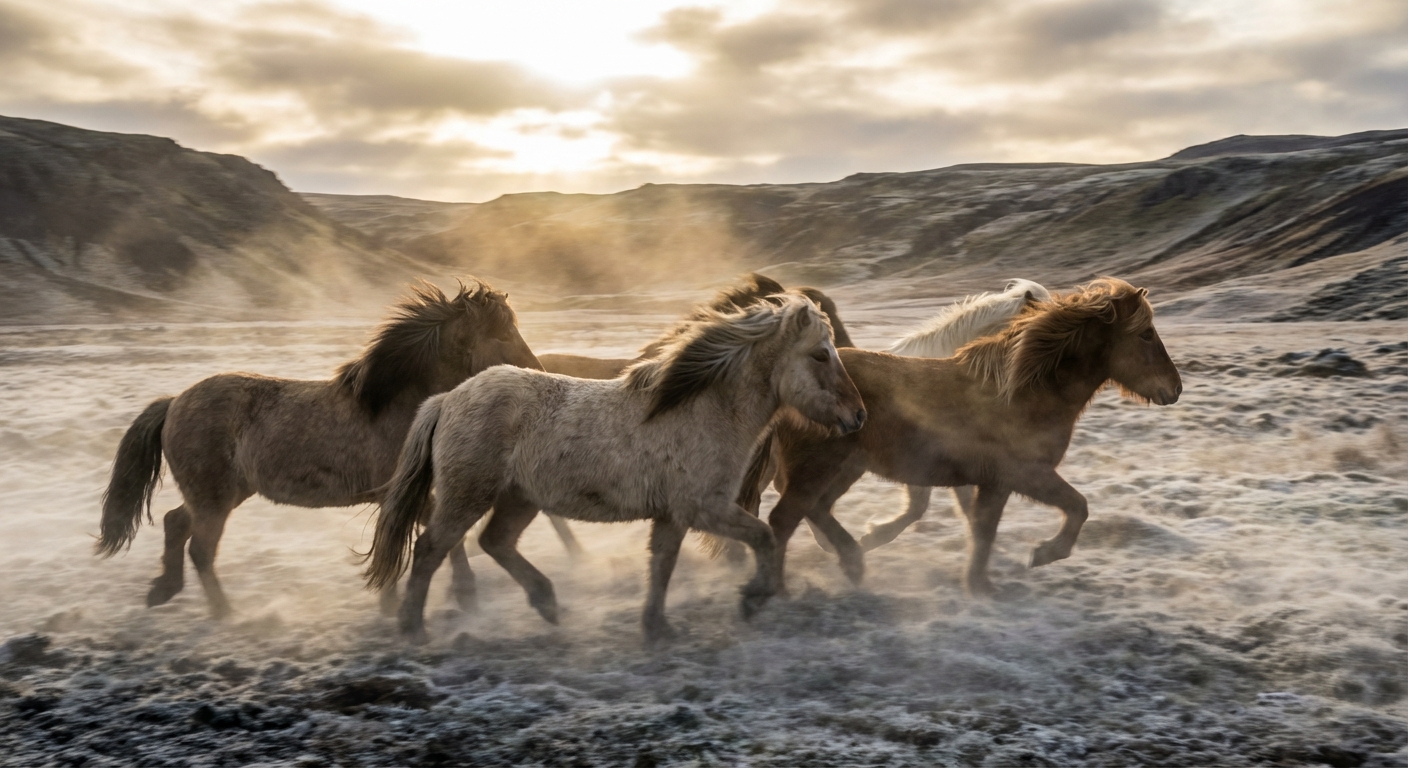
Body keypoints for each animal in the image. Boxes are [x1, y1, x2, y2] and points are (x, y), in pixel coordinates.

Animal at [96, 279, 542, 619]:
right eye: (503, 333)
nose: (537, 372)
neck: (395, 405)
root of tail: (174, 403)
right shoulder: (398, 494)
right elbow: (435, 537)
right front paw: (456, 596)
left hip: (223, 494)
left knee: (175, 522)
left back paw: (163, 591)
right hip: (214, 499)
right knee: (200, 550)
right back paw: (226, 614)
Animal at [364, 295, 867, 645]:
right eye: (821, 355)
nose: (858, 416)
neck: (700, 410)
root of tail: (447, 399)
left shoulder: (674, 515)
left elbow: (661, 566)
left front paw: (657, 628)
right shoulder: (705, 508)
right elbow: (762, 537)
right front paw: (751, 599)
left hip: (518, 499)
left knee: (495, 542)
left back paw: (548, 604)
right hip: (467, 497)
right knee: (430, 550)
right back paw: (414, 629)